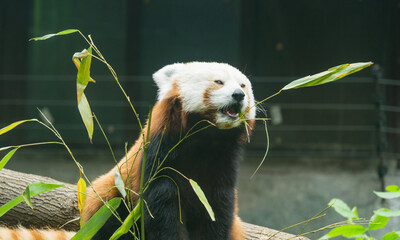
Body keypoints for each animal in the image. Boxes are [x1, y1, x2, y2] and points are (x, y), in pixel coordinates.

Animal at [0, 62, 256, 240]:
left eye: (243, 85)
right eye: (219, 82)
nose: (239, 95)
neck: (206, 142)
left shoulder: (221, 169)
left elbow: (217, 212)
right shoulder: (156, 159)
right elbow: (161, 208)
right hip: (109, 202)